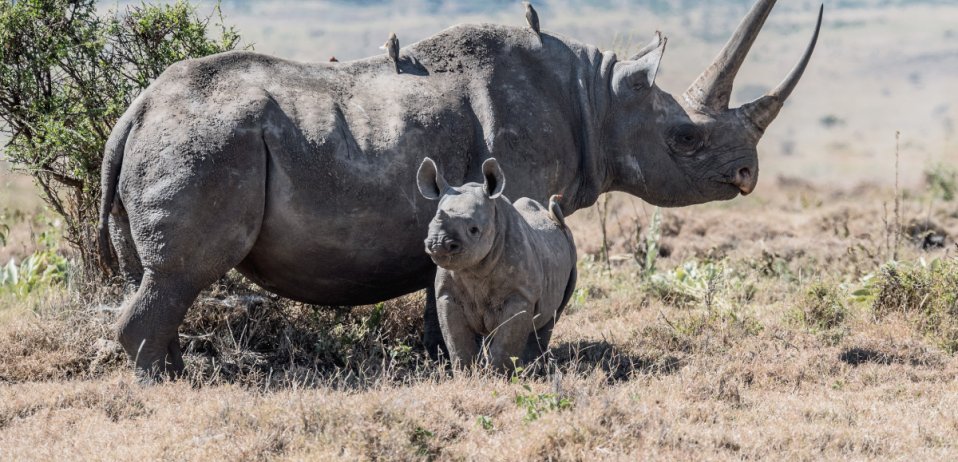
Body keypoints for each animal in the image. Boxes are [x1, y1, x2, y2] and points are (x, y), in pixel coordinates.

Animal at [414, 156, 576, 372]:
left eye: (474, 230)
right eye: (430, 225)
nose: (438, 244)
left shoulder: (521, 295)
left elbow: (506, 341)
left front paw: (498, 374)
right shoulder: (446, 294)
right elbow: (456, 339)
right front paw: (466, 373)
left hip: (570, 250)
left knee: (550, 317)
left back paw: (530, 369)